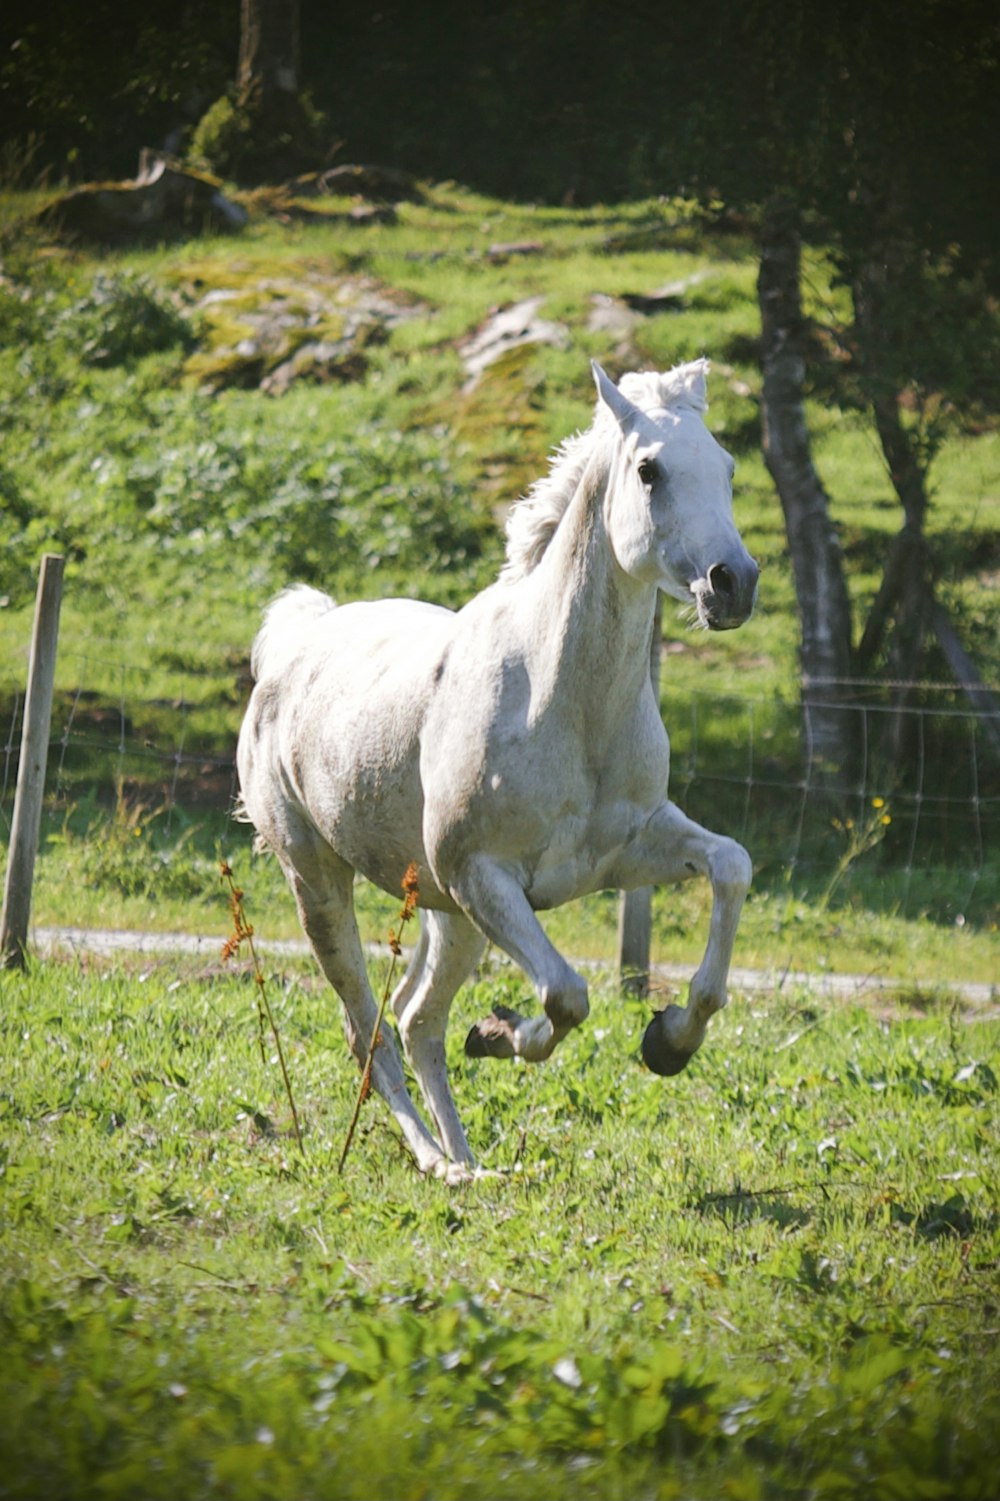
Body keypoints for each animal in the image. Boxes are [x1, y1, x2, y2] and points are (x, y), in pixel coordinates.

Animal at [240, 357, 756, 1176]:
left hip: (449, 917)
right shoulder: (483, 875)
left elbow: (731, 866)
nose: (731, 582)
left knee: (416, 1019)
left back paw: (471, 1164)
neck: (564, 700)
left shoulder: (628, 850)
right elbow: (567, 995)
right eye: (649, 470)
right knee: (368, 1029)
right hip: (320, 882)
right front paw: (501, 1032)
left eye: (728, 467)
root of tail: (295, 642)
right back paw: (435, 1159)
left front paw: (668, 1039)